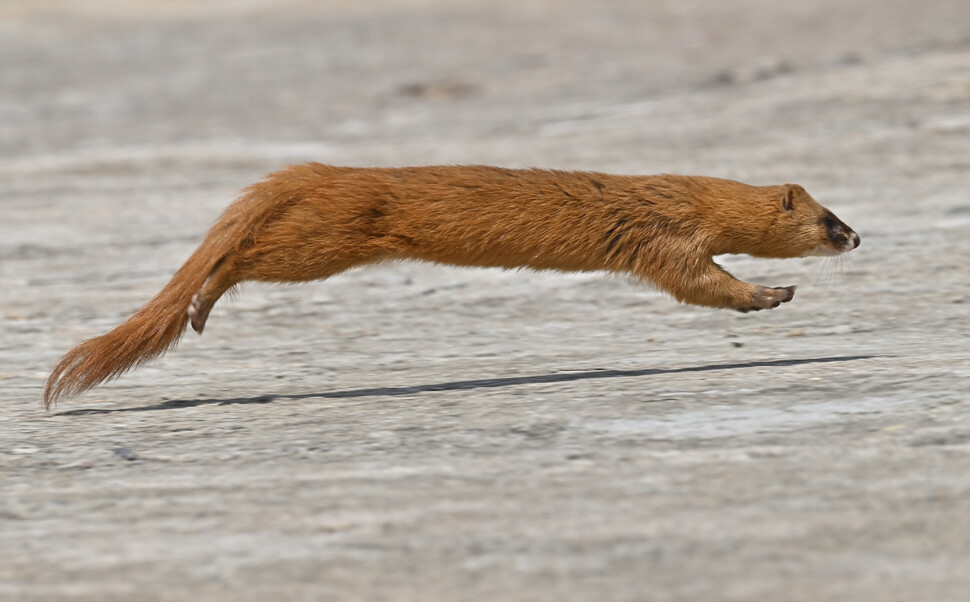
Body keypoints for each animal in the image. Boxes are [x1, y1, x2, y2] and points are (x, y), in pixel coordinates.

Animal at [41, 165, 860, 408]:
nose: (858, 236)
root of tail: (320, 170)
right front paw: (771, 296)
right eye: (829, 219)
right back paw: (203, 301)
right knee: (244, 256)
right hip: (323, 239)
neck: (681, 195)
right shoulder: (663, 242)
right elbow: (696, 284)